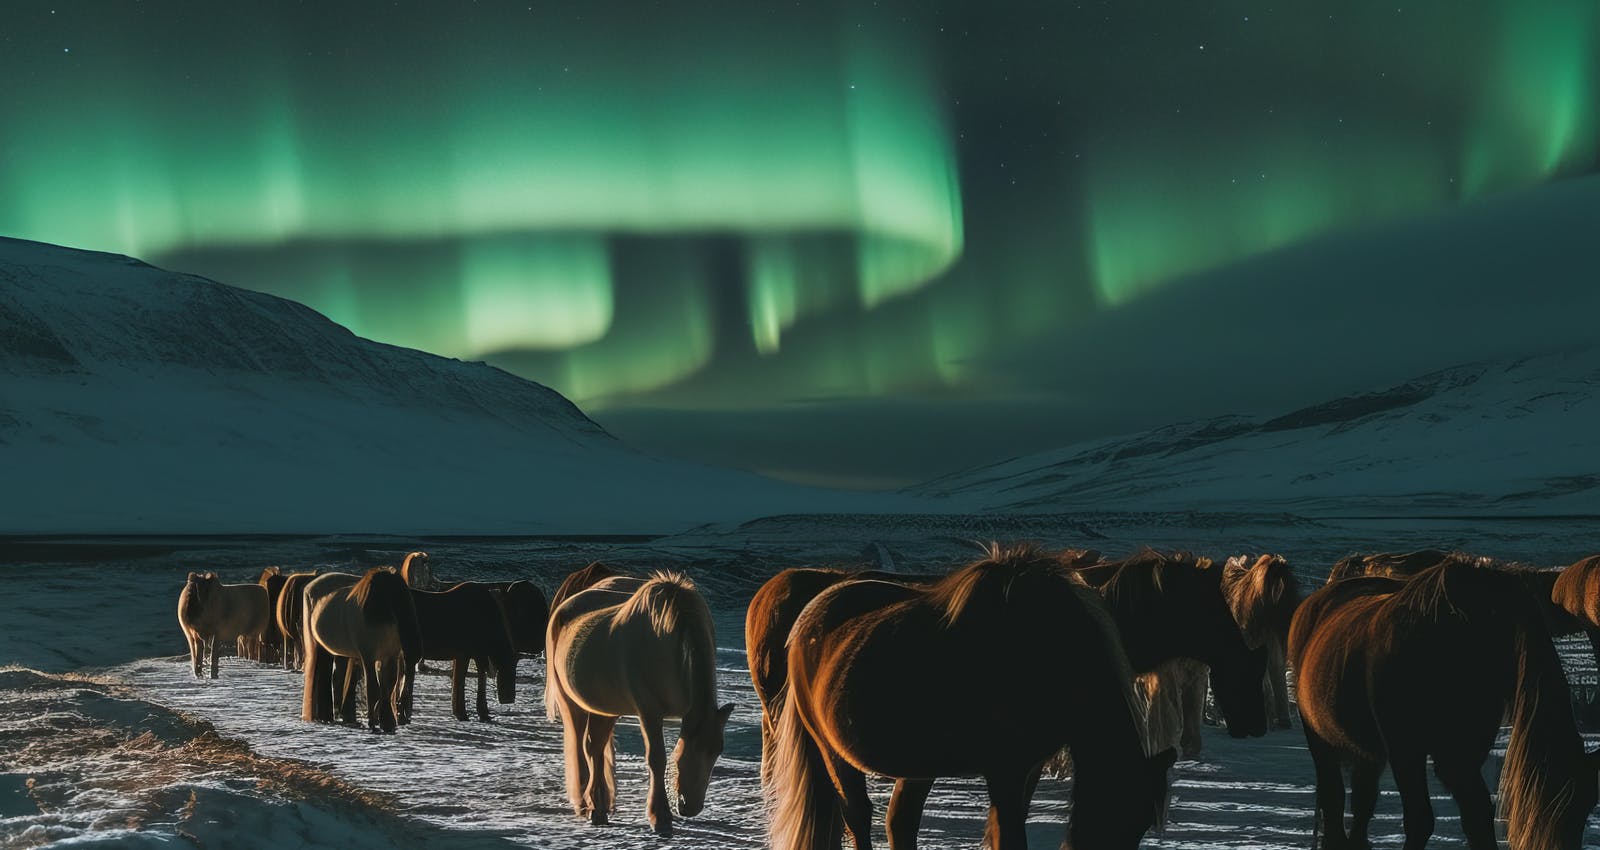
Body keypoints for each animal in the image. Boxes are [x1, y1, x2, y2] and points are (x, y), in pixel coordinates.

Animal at [300, 569, 422, 736]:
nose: (405, 714)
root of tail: (310, 586)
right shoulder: (368, 657)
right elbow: (373, 689)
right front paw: (373, 723)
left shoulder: (390, 657)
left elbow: (388, 687)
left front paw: (388, 722)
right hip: (317, 646)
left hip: (337, 653)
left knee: (336, 680)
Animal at [400, 582, 518, 720]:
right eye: (509, 662)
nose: (509, 698)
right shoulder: (470, 654)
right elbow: (463, 681)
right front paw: (467, 713)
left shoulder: (468, 655)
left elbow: (462, 680)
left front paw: (465, 712)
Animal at [544, 573, 732, 838]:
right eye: (689, 748)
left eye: (717, 751)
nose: (691, 807)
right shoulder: (649, 712)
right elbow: (657, 758)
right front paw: (660, 818)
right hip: (572, 704)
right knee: (581, 747)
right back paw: (584, 804)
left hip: (605, 709)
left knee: (594, 748)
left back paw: (599, 808)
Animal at [771, 544, 1177, 850]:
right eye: (1117, 809)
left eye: (1141, 823)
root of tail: (806, 619)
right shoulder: (1005, 769)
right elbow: (1009, 838)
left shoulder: (1026, 768)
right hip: (831, 749)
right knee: (858, 815)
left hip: (917, 764)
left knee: (899, 821)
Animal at [1292, 563, 1593, 845]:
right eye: (1562, 806)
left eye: (1586, 806)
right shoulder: (1406, 748)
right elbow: (1420, 820)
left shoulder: (1462, 754)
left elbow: (1477, 815)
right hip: (1320, 741)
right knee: (1334, 799)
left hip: (1368, 752)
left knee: (1362, 804)